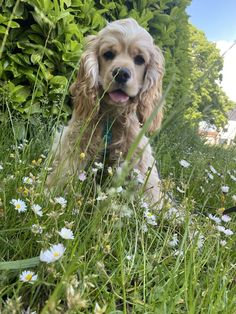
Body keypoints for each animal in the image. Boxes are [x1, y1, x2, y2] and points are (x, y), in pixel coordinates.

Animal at [46, 17, 164, 204]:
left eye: (139, 59)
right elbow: (64, 172)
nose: (121, 73)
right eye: (108, 54)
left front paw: (158, 208)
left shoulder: (138, 151)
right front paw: (48, 195)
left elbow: (149, 186)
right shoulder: (76, 141)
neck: (112, 114)